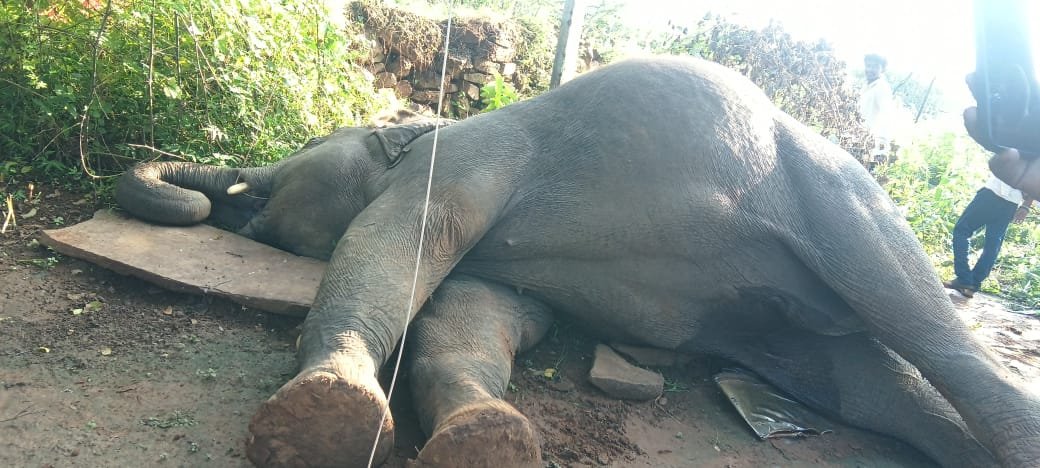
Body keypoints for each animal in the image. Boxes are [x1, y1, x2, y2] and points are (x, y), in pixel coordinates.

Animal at [115, 56, 1040, 468]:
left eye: (298, 158)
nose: (235, 202)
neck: (429, 122)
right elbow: (476, 311)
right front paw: (483, 439)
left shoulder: (467, 159)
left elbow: (402, 243)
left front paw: (322, 415)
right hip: (791, 319)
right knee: (874, 391)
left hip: (840, 199)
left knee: (920, 326)